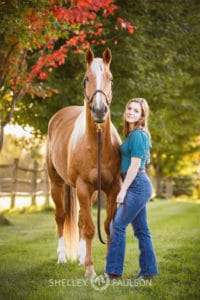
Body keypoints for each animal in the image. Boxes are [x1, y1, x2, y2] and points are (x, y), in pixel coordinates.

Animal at [46, 48, 122, 278]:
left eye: (110, 79)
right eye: (86, 78)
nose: (99, 110)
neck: (97, 143)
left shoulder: (112, 188)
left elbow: (106, 226)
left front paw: (107, 266)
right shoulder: (82, 187)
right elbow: (89, 229)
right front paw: (90, 269)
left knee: (79, 220)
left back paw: (79, 258)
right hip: (58, 184)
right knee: (61, 217)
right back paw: (62, 257)